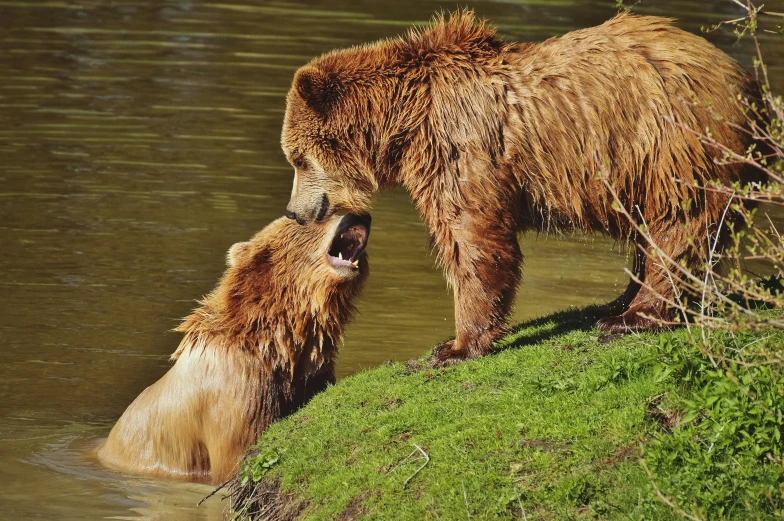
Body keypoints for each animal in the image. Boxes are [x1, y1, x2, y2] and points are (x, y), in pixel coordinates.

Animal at [280, 14, 764, 368]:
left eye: (298, 158)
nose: (294, 212)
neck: (407, 121)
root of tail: (745, 81)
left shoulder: (461, 150)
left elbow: (473, 240)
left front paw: (454, 346)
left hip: (672, 143)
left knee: (679, 224)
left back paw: (633, 316)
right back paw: (616, 301)